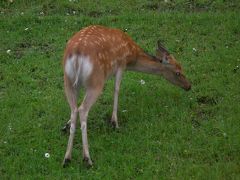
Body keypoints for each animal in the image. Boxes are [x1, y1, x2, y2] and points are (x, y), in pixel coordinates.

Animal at [62, 24, 191, 167]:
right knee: (83, 109)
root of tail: (77, 55)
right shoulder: (121, 64)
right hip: (95, 81)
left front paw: (66, 123)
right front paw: (114, 122)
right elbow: (117, 89)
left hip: (68, 82)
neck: (131, 55)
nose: (189, 86)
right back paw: (87, 159)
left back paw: (67, 158)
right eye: (178, 72)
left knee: (74, 109)